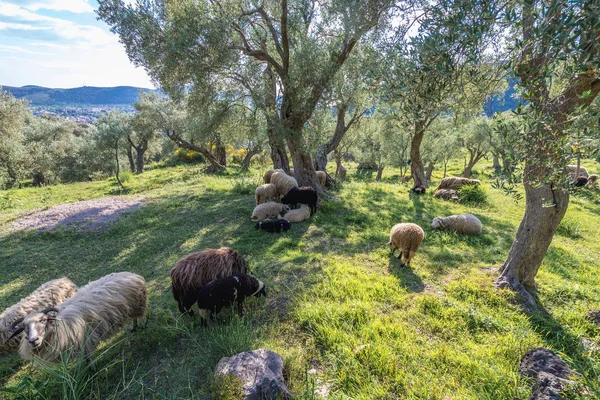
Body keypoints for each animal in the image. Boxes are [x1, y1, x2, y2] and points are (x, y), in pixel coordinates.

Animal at [9, 274, 146, 364]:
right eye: (24, 328)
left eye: (43, 320)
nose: (33, 340)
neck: (59, 325)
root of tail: (130, 274)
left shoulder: (84, 340)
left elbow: (89, 358)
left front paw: (92, 369)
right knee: (134, 318)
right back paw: (133, 327)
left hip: (138, 303)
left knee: (141, 315)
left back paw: (142, 324)